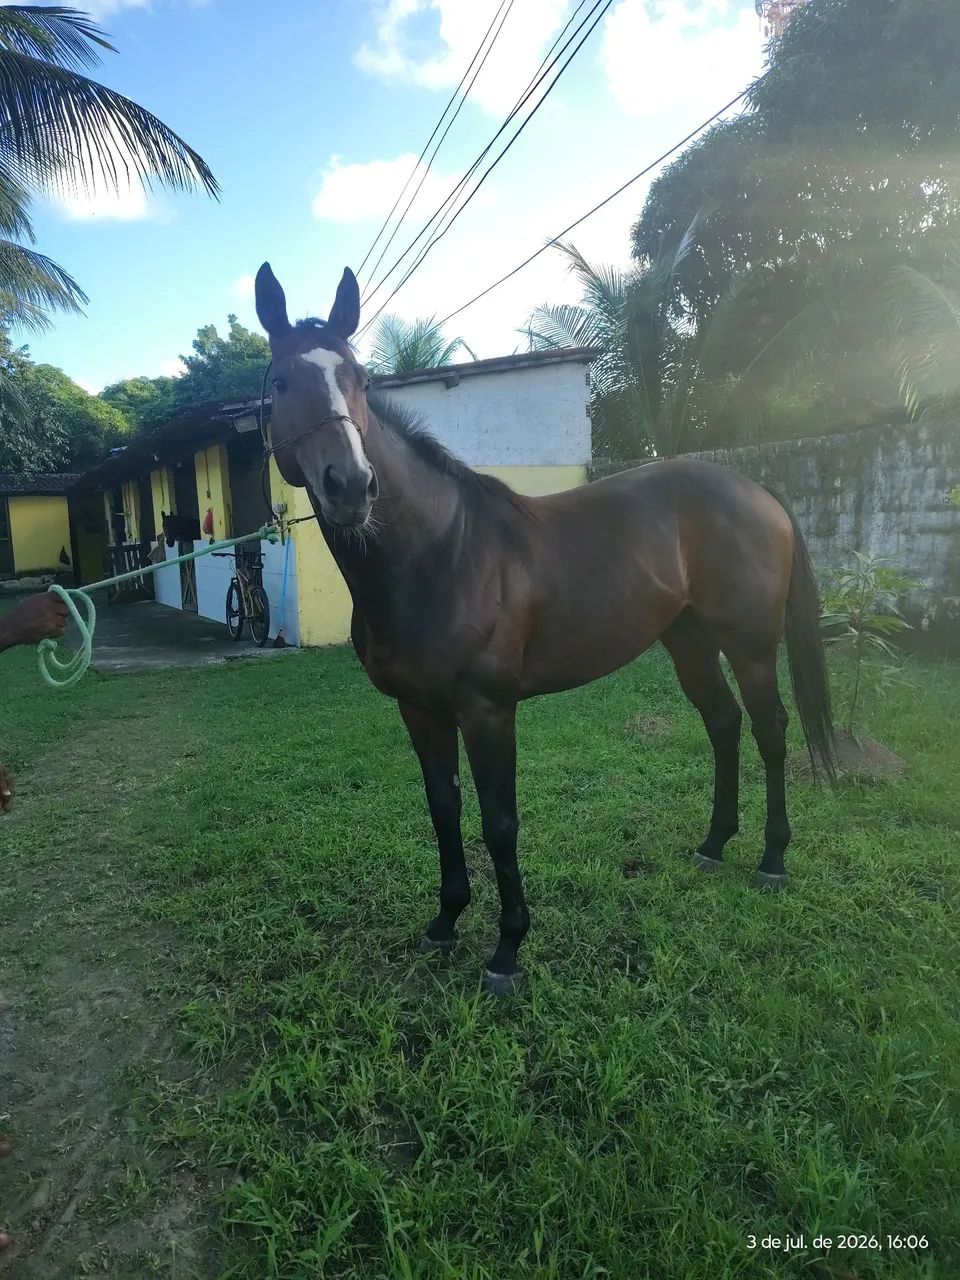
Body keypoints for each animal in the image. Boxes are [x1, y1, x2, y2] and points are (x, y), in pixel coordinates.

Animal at [254, 262, 836, 996]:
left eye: (359, 380)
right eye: (280, 382)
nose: (351, 485)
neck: (438, 553)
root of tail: (757, 491)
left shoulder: (487, 709)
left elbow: (500, 822)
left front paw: (507, 950)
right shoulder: (419, 709)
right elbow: (443, 809)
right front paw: (445, 922)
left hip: (751, 644)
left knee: (770, 730)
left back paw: (772, 860)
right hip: (689, 641)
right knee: (723, 723)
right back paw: (712, 846)